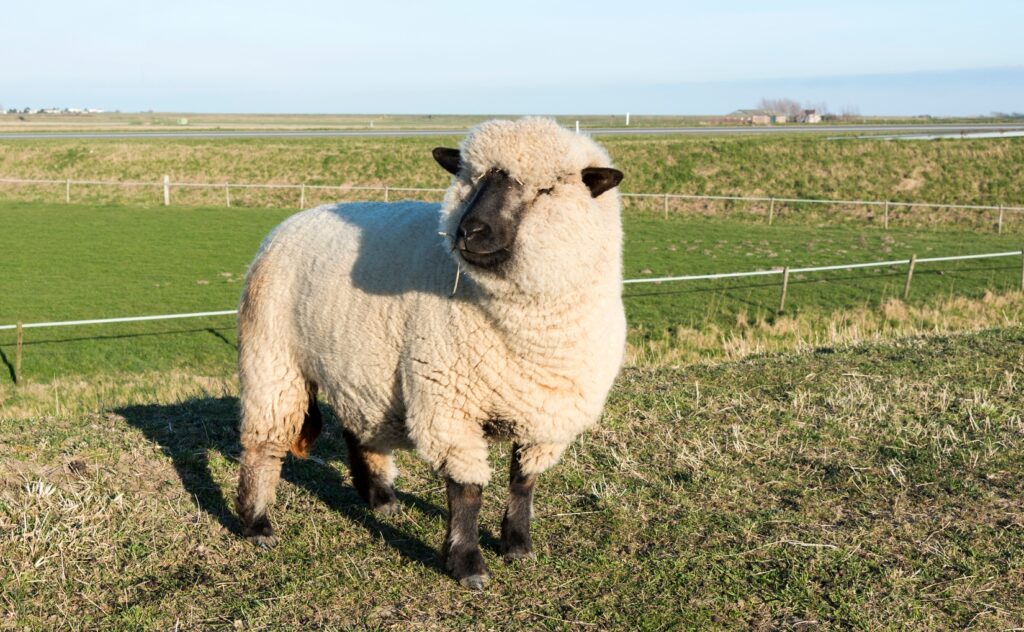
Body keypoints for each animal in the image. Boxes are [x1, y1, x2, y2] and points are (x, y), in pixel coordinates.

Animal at [235, 117, 626, 585]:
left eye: (546, 189)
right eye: (469, 178)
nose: (469, 231)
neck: (525, 332)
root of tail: (294, 220)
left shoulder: (549, 415)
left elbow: (523, 482)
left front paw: (517, 545)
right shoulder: (449, 405)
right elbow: (467, 491)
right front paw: (467, 564)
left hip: (357, 363)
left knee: (356, 427)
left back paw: (380, 497)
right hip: (272, 356)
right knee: (263, 442)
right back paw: (257, 524)